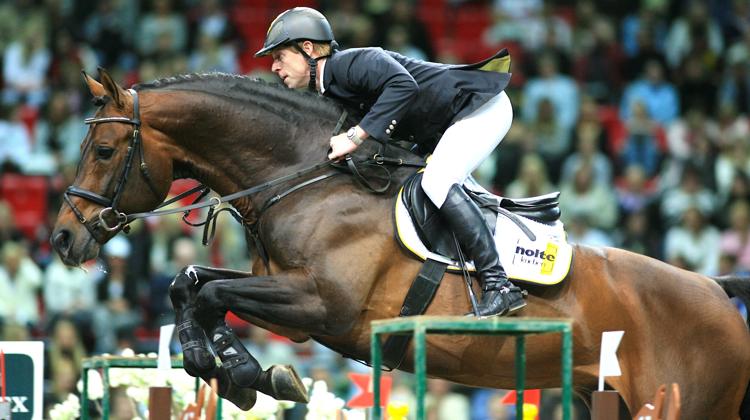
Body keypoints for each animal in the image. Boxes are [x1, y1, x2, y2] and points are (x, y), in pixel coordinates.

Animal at [51, 70, 750, 418]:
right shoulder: (294, 305)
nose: (61, 237)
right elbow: (193, 284)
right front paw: (240, 371)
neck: (303, 176)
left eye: (105, 149)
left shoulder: (320, 306)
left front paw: (245, 373)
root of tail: (716, 289)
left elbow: (207, 289)